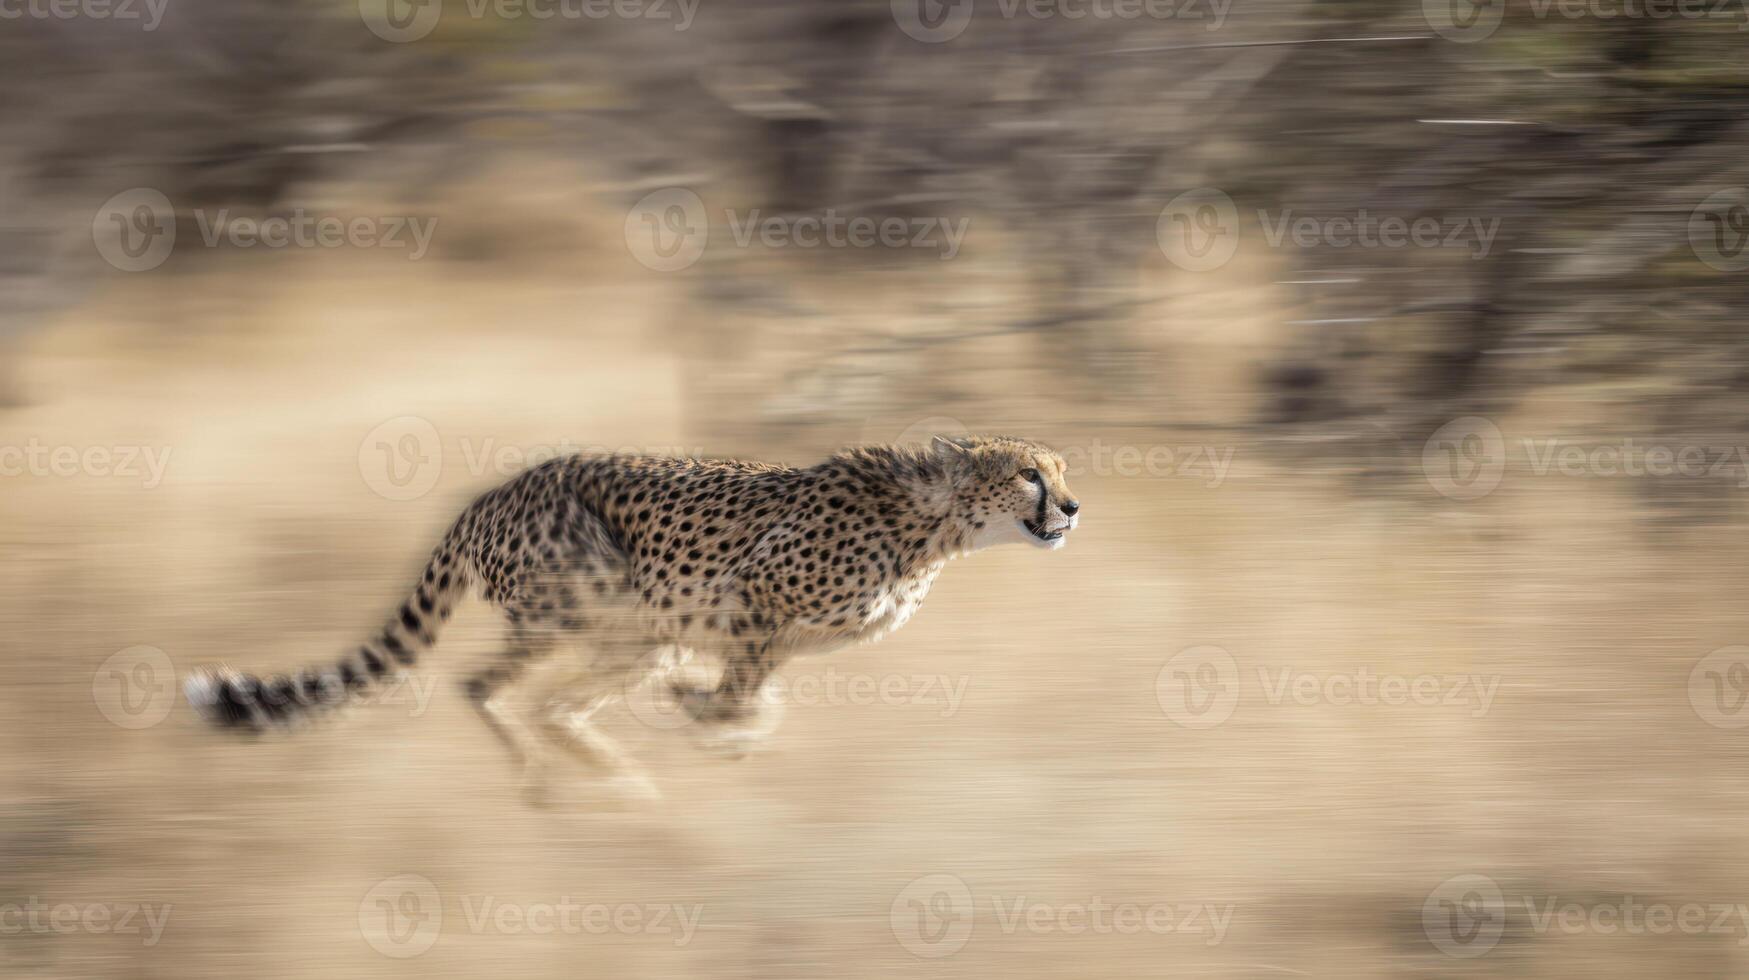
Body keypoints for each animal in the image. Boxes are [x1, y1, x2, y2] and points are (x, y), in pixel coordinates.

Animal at [186, 434, 1080, 802]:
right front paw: (715, 720)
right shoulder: (751, 599)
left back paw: (621, 785)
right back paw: (549, 777)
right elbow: (741, 692)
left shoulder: (766, 634)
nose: (1072, 508)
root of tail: (490, 493)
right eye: (1028, 474)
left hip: (637, 633)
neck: (931, 525)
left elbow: (753, 696)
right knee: (484, 685)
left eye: (1061, 470)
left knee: (552, 704)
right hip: (592, 592)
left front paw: (722, 727)